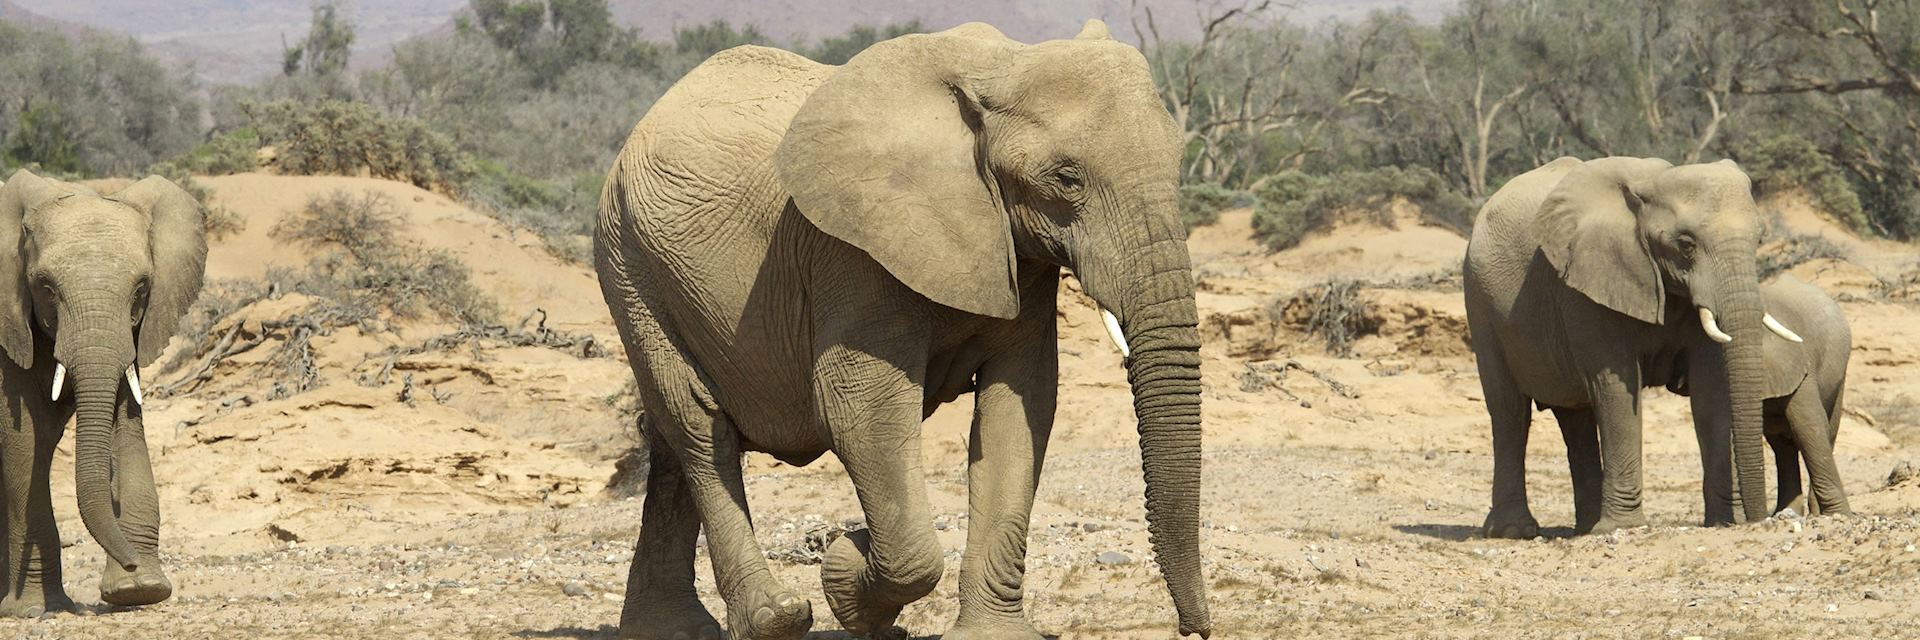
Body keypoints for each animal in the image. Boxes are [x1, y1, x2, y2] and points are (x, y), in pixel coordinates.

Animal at [0, 169, 206, 615]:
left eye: (142, 288)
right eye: (45, 287)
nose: (129, 561)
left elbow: (125, 427)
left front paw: (139, 589)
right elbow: (24, 441)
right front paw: (34, 610)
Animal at [591, 18, 1205, 638]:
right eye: (1066, 178)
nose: (1194, 627)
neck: (997, 69)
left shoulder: (1018, 254)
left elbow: (1020, 404)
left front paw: (988, 632)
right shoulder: (852, 250)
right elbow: (860, 410)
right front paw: (847, 567)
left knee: (669, 437)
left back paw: (670, 628)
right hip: (630, 268)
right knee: (698, 426)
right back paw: (775, 618)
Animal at [1466, 156, 1797, 534]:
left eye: (1759, 239)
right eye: (1686, 244)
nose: (1760, 519)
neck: (1652, 184)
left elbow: (1711, 390)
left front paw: (1725, 522)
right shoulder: (1586, 284)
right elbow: (1616, 388)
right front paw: (1622, 528)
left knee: (1575, 416)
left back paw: (1585, 529)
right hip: (1480, 303)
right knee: (1509, 410)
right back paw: (1515, 530)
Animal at [1666, 274, 1858, 518]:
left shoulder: (1798, 363)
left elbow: (1809, 425)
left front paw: (1839, 514)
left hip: (1840, 374)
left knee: (1825, 429)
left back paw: (1813, 512)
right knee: (1782, 444)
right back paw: (1786, 512)